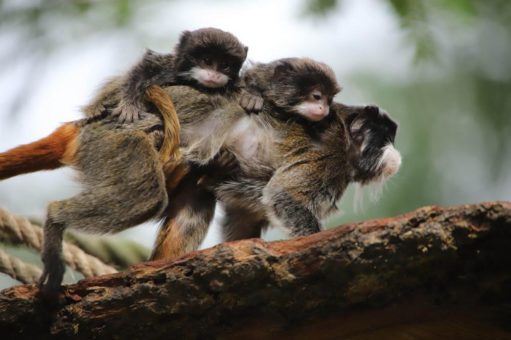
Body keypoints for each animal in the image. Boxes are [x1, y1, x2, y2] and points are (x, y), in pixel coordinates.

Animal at [83, 26, 249, 122]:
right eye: (207, 60)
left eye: (225, 65)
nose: (214, 76)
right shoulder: (166, 67)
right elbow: (143, 68)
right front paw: (130, 104)